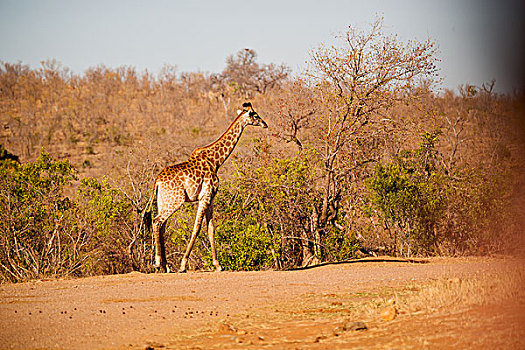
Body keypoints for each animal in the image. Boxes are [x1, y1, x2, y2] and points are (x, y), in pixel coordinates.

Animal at [142, 102, 266, 274]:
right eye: (255, 115)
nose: (265, 124)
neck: (216, 161)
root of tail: (157, 182)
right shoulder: (204, 196)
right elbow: (197, 227)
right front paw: (183, 265)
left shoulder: (211, 198)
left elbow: (211, 228)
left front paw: (218, 264)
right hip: (175, 201)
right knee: (156, 221)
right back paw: (158, 263)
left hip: (163, 201)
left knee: (162, 226)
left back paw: (166, 266)